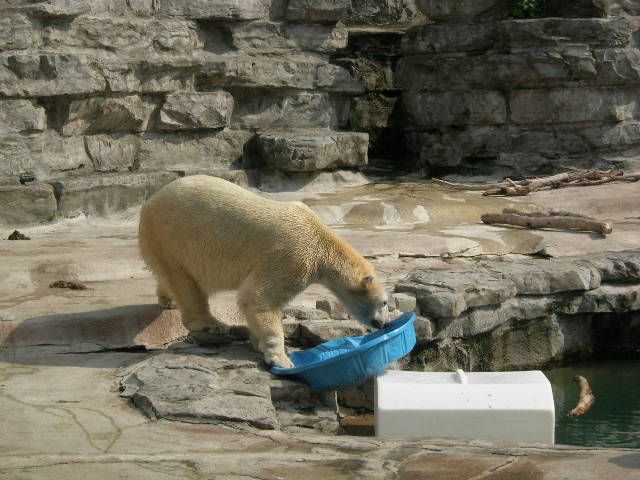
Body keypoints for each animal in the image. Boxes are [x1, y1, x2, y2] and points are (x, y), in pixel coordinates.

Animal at [139, 176, 390, 368]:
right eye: (384, 303)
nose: (385, 324)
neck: (321, 240)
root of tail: (149, 203)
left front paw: (257, 342)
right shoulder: (293, 256)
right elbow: (260, 299)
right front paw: (282, 359)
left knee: (171, 277)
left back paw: (168, 300)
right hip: (171, 237)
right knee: (187, 282)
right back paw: (213, 323)